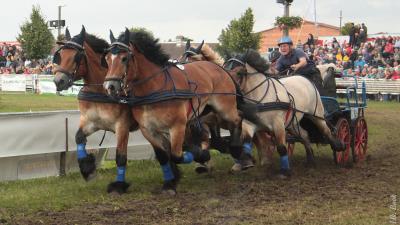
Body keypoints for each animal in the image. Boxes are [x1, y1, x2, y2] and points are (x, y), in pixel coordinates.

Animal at [53, 26, 138, 193]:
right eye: (60, 54)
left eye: (77, 56)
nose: (58, 81)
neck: (102, 91)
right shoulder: (91, 122)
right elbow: (79, 138)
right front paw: (88, 169)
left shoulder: (122, 127)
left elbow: (121, 157)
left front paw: (119, 186)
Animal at [101, 28, 256, 193]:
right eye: (107, 58)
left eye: (124, 58)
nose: (110, 87)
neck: (154, 88)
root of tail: (220, 68)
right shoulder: (148, 129)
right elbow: (164, 155)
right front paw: (170, 182)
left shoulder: (178, 126)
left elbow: (177, 154)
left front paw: (202, 155)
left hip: (224, 108)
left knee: (238, 118)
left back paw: (236, 150)